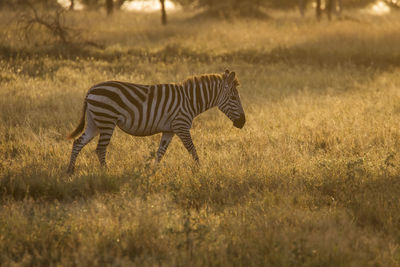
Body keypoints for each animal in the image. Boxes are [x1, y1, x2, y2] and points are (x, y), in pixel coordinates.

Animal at [66, 69, 244, 174]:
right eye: (234, 98)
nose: (242, 122)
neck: (190, 100)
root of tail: (91, 89)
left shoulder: (169, 130)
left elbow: (160, 152)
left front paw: (153, 172)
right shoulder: (181, 126)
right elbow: (192, 149)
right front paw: (200, 170)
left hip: (95, 122)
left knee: (78, 142)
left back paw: (70, 170)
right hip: (106, 120)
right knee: (100, 149)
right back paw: (106, 172)